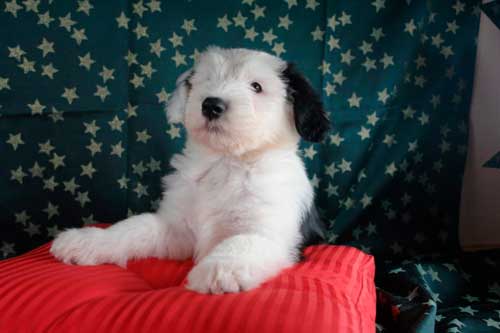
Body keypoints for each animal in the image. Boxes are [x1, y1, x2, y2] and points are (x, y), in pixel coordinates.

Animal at [50, 46, 332, 294]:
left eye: (256, 86)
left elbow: (242, 242)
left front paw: (219, 269)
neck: (226, 162)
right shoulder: (176, 227)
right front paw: (90, 240)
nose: (211, 104)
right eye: (206, 79)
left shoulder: (270, 231)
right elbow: (132, 227)